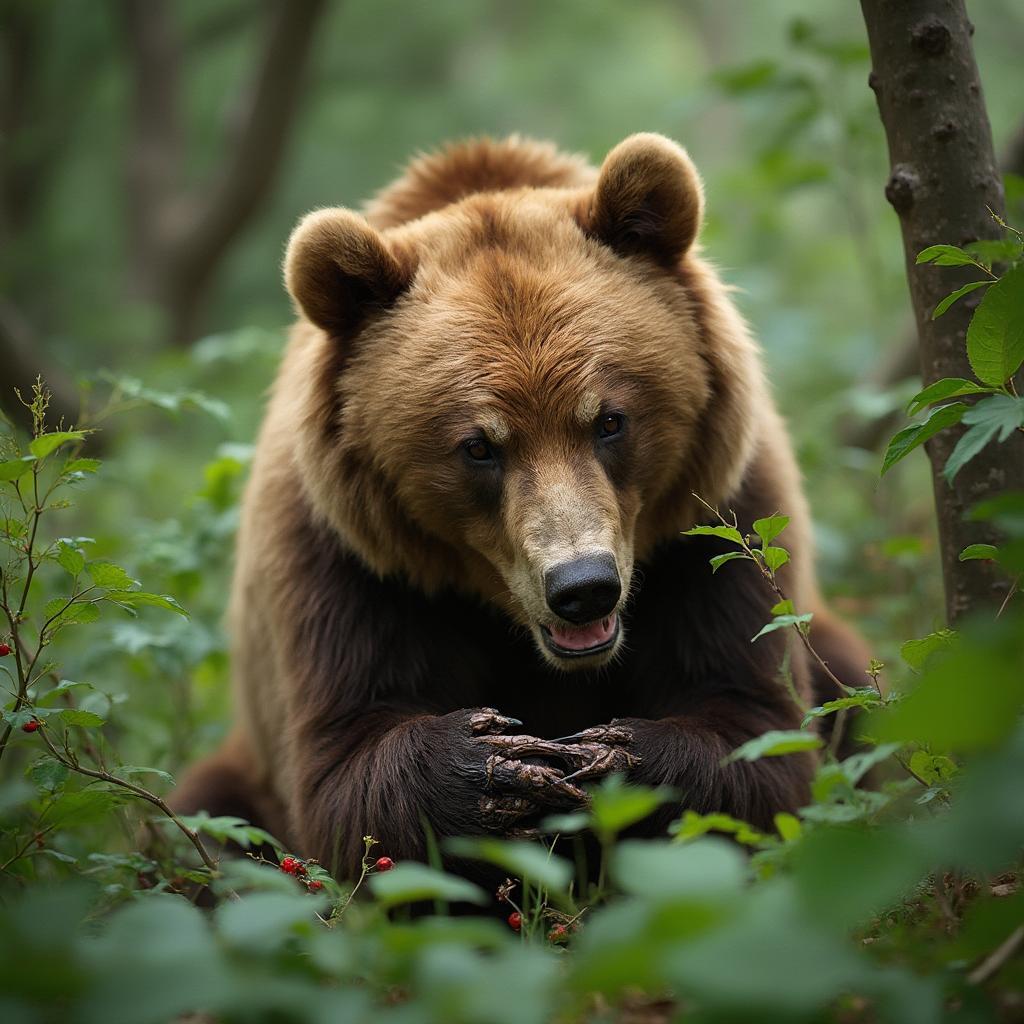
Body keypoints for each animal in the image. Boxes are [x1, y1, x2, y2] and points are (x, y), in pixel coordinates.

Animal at [172, 132, 868, 876]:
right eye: (479, 445)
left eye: (610, 419)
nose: (583, 587)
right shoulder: (345, 561)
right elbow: (345, 770)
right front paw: (498, 765)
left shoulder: (715, 525)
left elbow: (757, 731)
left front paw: (609, 756)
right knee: (210, 810)